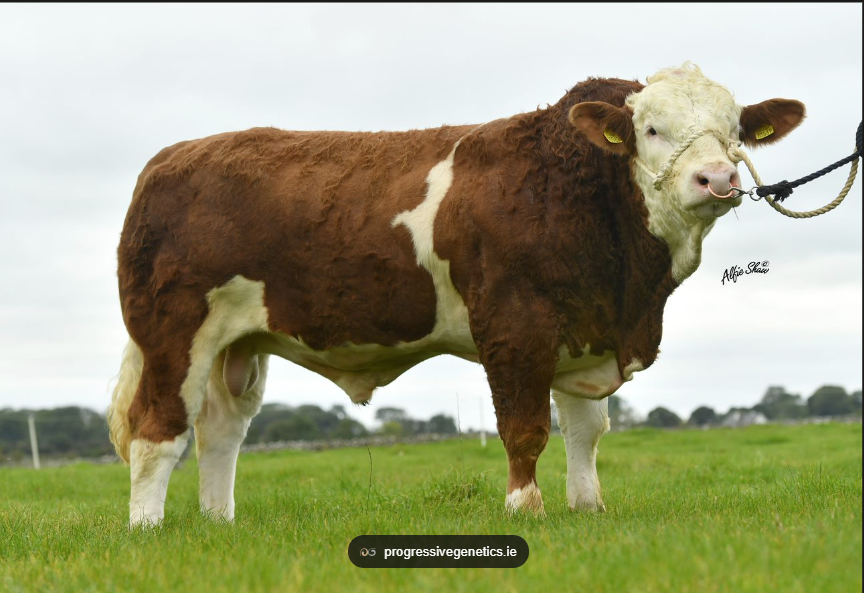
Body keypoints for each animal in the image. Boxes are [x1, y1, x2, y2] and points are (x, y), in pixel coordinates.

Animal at [108, 63, 805, 526]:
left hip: (241, 343)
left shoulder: (586, 328)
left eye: (735, 130)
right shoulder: (517, 327)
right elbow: (524, 427)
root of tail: (172, 158)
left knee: (221, 431)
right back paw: (148, 527)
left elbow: (586, 431)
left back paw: (218, 523)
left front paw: (588, 506)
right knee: (158, 430)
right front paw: (526, 508)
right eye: (653, 129)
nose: (716, 178)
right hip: (173, 331)